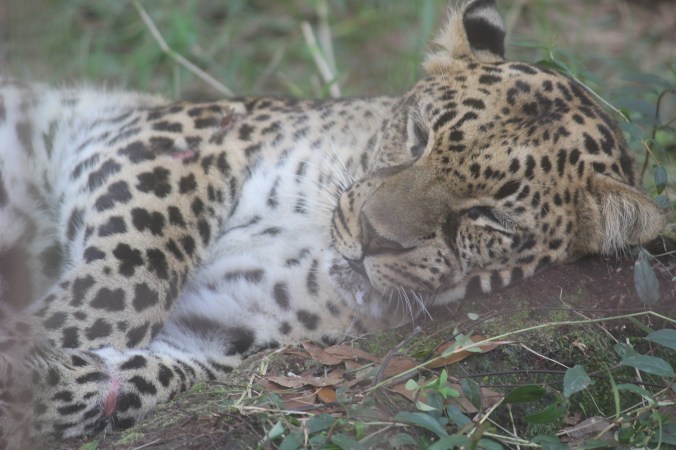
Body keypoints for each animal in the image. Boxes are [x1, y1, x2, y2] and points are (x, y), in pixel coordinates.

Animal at [0, 0, 666, 447]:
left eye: (488, 217)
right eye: (419, 135)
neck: (312, 247)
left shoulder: (219, 331)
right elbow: (121, 285)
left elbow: (140, 362)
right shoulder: (164, 142)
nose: (372, 237)